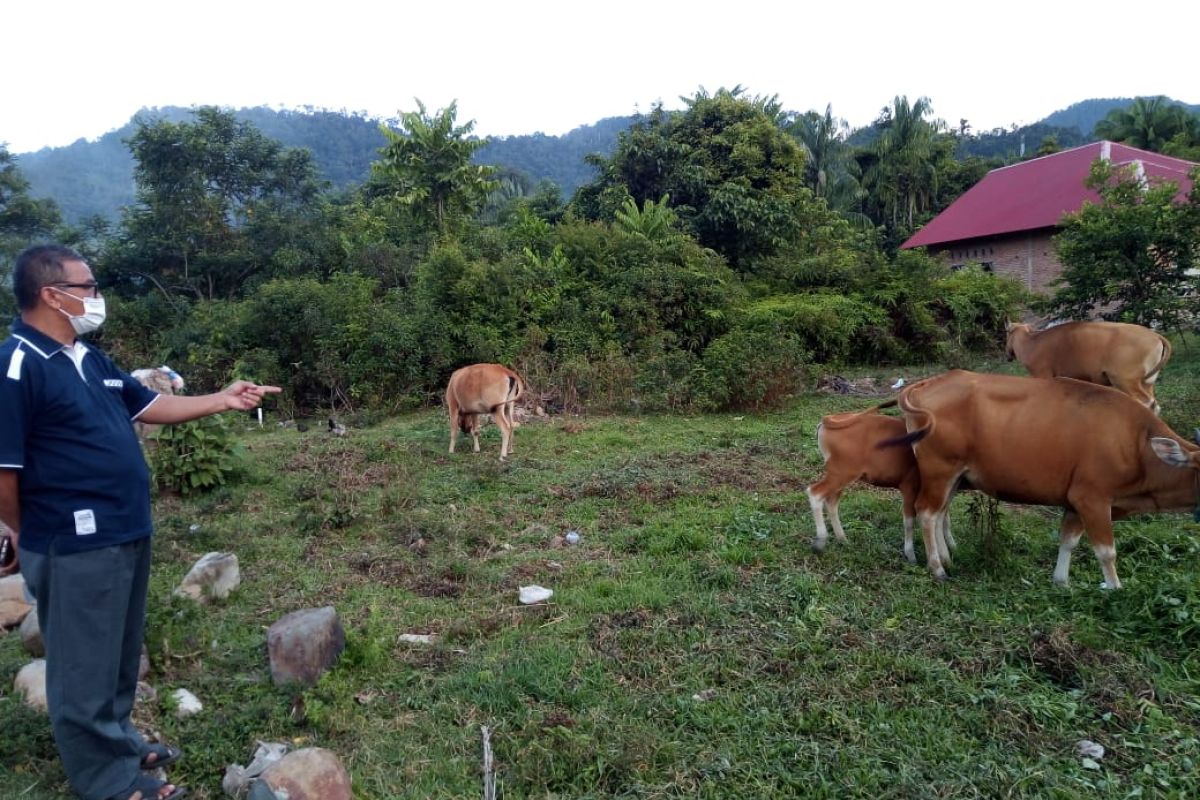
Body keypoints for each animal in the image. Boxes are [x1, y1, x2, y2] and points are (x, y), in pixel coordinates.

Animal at [806, 407, 955, 563]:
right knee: (815, 492)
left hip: (840, 476)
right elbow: (910, 520)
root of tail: (827, 420)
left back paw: (842, 539)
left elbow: (944, 516)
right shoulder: (910, 486)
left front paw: (952, 546)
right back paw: (820, 541)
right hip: (841, 474)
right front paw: (911, 556)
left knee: (831, 502)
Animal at [892, 371, 1200, 587]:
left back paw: (946, 557)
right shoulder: (1092, 498)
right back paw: (937, 568)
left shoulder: (1075, 503)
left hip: (955, 476)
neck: (1137, 443)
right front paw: (1115, 588)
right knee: (927, 513)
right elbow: (1106, 551)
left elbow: (1068, 541)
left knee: (940, 513)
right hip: (940, 470)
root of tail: (928, 384)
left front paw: (1061, 581)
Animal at [1003, 319, 1171, 412]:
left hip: (1126, 381)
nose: (1007, 354)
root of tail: (1155, 335)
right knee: (1155, 404)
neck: (1032, 342)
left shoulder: (1042, 376)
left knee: (1146, 403)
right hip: (1147, 383)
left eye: (1006, 333)